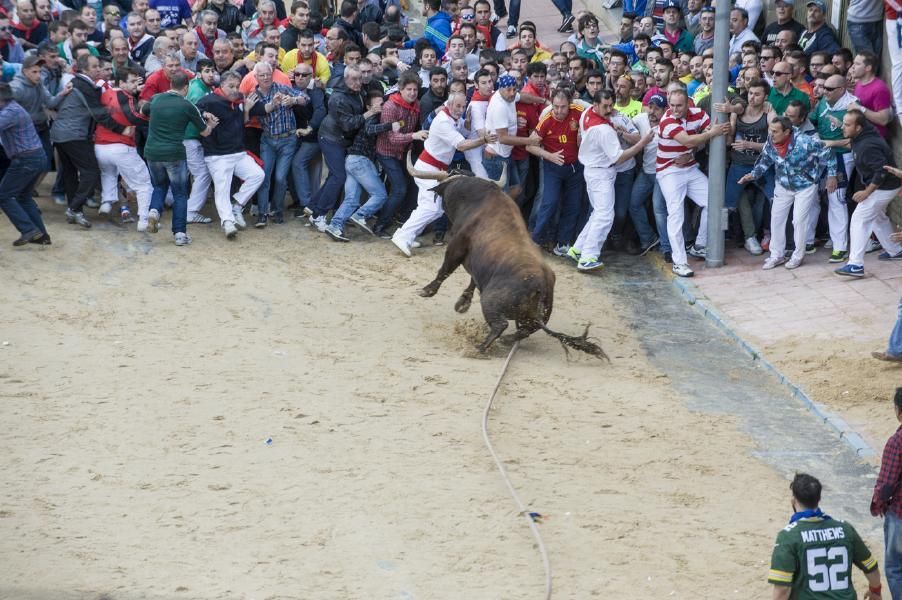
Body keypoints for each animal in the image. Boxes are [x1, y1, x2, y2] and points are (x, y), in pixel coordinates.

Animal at [408, 157, 608, 358]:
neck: (474, 199)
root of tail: (541, 284)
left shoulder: (456, 246)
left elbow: (445, 269)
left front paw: (427, 290)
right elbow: (472, 279)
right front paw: (462, 303)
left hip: (490, 301)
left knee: (500, 324)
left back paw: (479, 348)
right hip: (535, 317)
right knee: (525, 330)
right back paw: (505, 340)